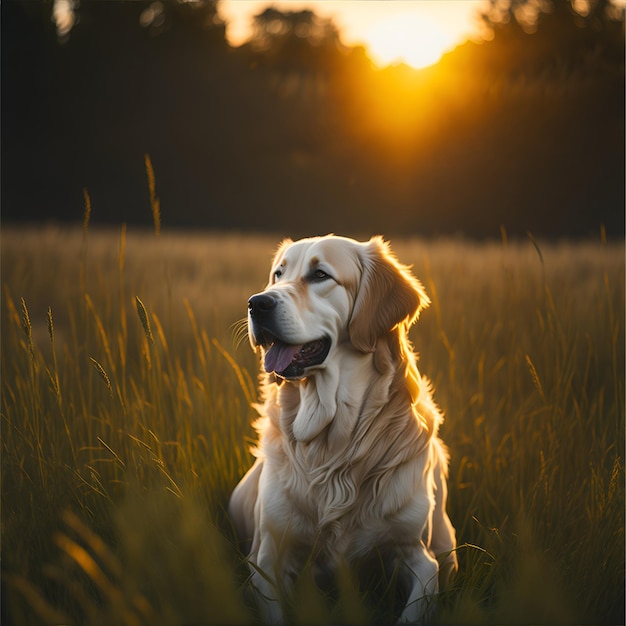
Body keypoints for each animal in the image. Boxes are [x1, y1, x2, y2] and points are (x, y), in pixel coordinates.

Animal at [227, 235, 456, 624]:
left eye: (320, 274)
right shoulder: (267, 558)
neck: (333, 441)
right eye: (278, 274)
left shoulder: (419, 558)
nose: (257, 303)